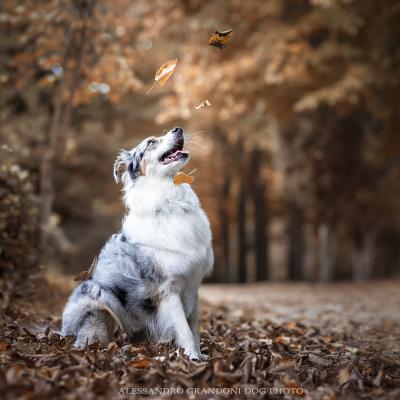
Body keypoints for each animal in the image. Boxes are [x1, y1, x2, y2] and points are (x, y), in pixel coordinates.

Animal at [60, 128, 212, 360]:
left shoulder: (192, 285)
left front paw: (200, 357)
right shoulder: (167, 288)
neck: (170, 202)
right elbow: (184, 329)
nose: (178, 129)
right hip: (97, 294)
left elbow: (194, 327)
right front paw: (192, 358)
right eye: (150, 142)